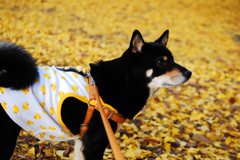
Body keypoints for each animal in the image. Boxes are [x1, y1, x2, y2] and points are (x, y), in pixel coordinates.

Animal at [0, 29, 191, 159]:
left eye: (173, 59)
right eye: (161, 62)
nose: (189, 73)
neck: (119, 83)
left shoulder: (82, 141)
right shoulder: (95, 145)